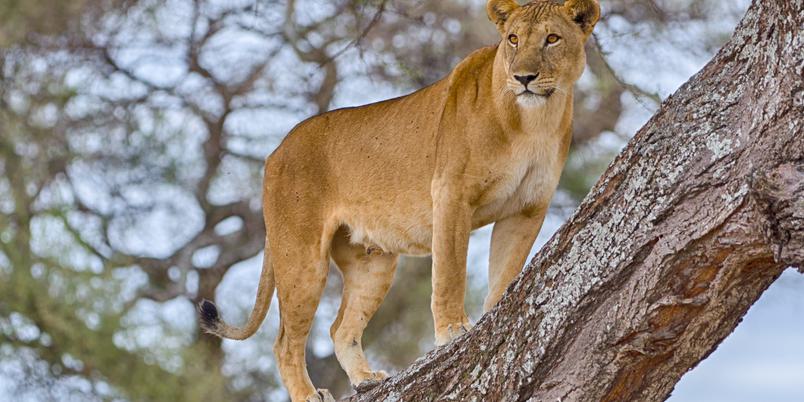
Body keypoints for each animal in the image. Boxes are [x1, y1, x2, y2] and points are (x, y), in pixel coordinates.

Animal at [197, 0, 600, 400]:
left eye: (552, 39)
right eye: (513, 39)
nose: (524, 78)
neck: (533, 122)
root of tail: (276, 152)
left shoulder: (527, 209)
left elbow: (505, 272)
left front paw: (497, 315)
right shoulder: (451, 194)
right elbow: (450, 272)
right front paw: (453, 331)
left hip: (372, 262)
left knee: (340, 329)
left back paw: (365, 379)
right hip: (301, 256)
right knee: (284, 342)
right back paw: (309, 394)